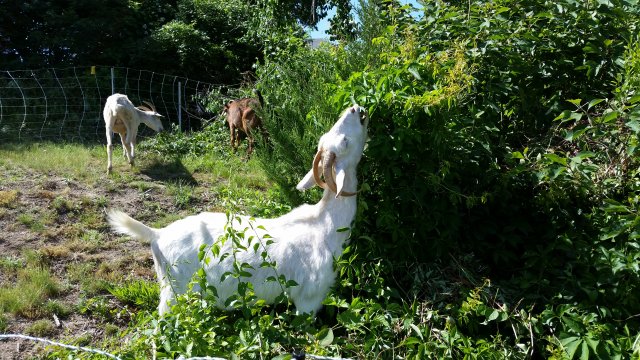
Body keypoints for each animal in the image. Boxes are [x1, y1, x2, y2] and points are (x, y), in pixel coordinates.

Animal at [107, 104, 368, 316]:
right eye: (344, 142)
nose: (356, 109)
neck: (325, 224)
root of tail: (157, 234)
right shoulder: (308, 299)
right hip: (173, 292)